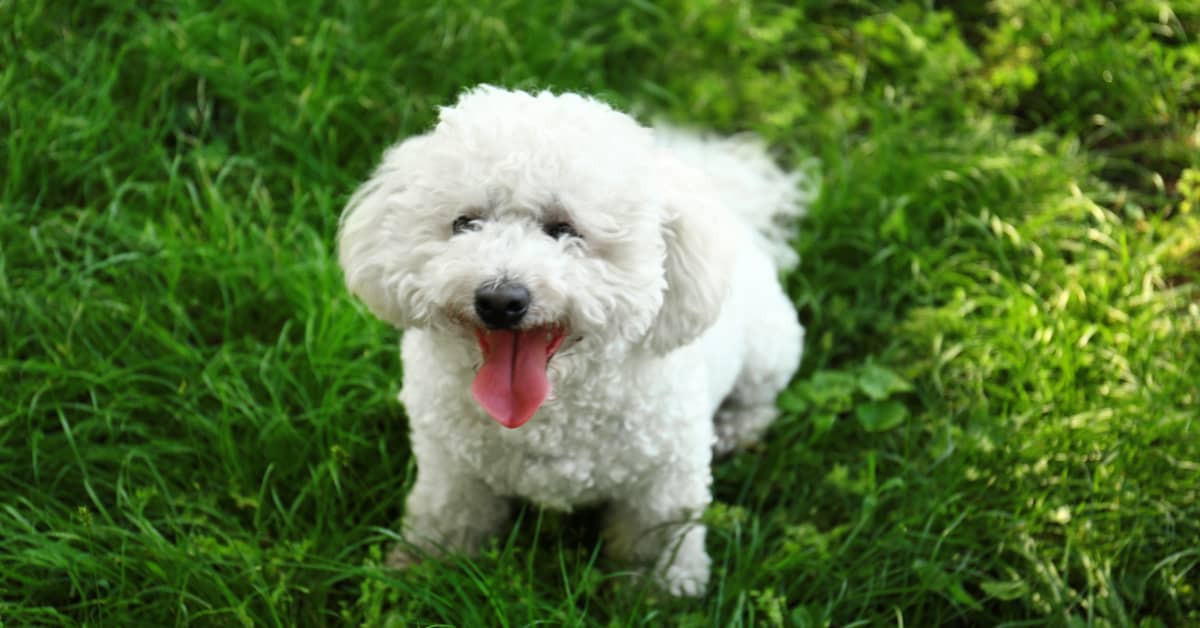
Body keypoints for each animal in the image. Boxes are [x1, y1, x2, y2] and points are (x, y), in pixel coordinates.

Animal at [333, 85, 811, 597]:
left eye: (565, 230)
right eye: (465, 223)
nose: (500, 300)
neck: (547, 415)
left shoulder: (664, 481)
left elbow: (658, 542)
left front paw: (661, 592)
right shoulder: (451, 468)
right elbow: (447, 517)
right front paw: (423, 571)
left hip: (769, 349)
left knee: (759, 397)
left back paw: (738, 428)